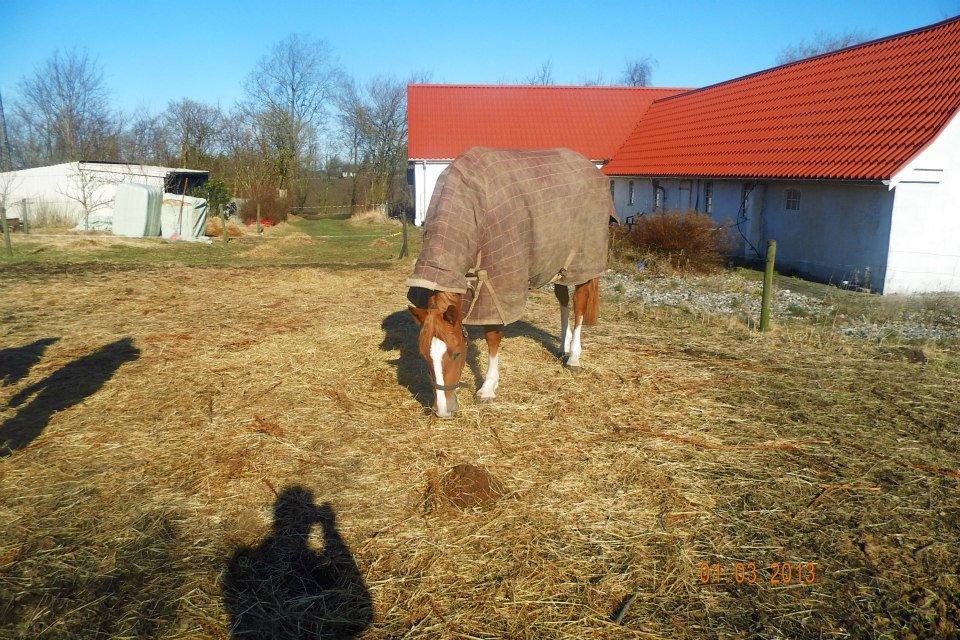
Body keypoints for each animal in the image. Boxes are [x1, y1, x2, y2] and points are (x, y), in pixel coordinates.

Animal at [404, 150, 608, 420]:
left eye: (457, 353)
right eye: (423, 355)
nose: (444, 411)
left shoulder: (497, 286)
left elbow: (493, 337)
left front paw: (488, 387)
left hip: (582, 264)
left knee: (580, 304)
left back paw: (574, 356)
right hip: (557, 263)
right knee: (563, 300)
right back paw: (563, 348)